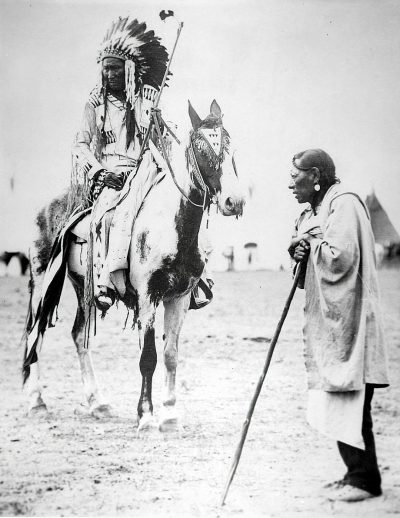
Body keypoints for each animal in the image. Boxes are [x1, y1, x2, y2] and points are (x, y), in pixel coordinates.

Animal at [25, 99, 245, 432]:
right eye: (201, 146)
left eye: (230, 145)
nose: (235, 201)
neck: (172, 226)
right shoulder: (147, 297)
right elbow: (149, 357)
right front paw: (146, 416)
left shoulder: (179, 298)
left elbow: (170, 355)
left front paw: (170, 414)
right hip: (41, 281)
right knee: (33, 334)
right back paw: (36, 401)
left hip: (81, 286)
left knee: (78, 335)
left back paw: (97, 403)